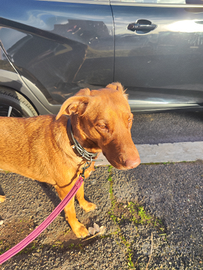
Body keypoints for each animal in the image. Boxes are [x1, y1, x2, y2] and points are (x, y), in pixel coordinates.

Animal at [0, 81, 140, 236]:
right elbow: (71, 211)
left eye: (130, 119)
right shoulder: (64, 190)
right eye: (102, 126)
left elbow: (81, 193)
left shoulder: (78, 180)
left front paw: (85, 205)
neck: (76, 146)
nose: (134, 164)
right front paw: (77, 228)